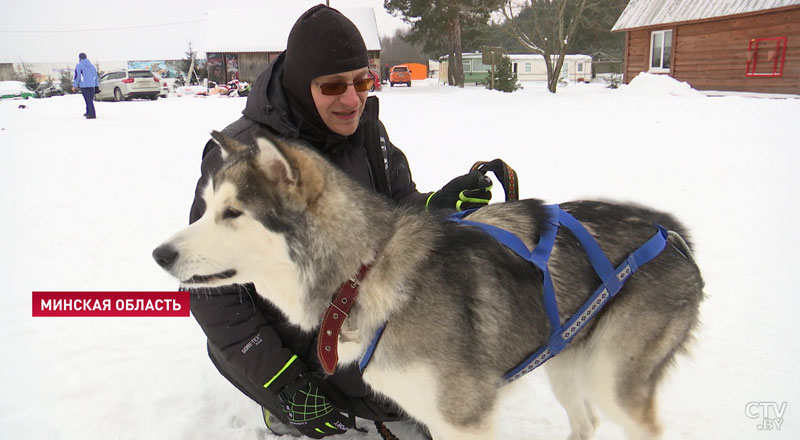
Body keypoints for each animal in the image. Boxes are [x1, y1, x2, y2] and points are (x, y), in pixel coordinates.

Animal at [153, 131, 704, 440]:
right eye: (205, 207)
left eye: (232, 213)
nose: (160, 255)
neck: (362, 276)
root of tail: (671, 233)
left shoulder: (465, 422)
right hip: (566, 362)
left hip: (611, 380)